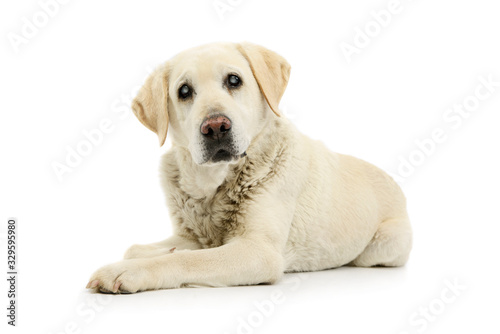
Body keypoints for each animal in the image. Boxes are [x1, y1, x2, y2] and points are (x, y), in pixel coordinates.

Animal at [87, 43, 414, 294]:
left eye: (234, 80)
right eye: (184, 91)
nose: (215, 127)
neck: (215, 183)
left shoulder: (259, 251)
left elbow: (187, 260)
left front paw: (129, 270)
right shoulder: (193, 235)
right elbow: (136, 247)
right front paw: (150, 253)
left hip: (382, 246)